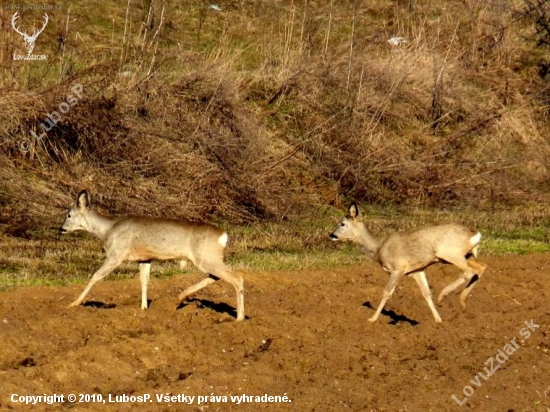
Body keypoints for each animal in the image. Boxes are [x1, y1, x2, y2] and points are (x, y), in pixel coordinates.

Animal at [58, 191, 246, 322]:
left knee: (237, 277)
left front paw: (73, 304)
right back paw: (181, 297)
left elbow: (95, 276)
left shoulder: (116, 254)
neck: (107, 230)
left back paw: (239, 318)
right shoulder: (145, 258)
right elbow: (144, 281)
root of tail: (223, 235)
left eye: (69, 214)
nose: (61, 229)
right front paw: (143, 309)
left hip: (206, 257)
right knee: (217, 276)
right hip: (209, 258)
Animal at [332, 204, 488, 324]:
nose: (331, 235)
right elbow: (426, 293)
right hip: (467, 255)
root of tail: (476, 234)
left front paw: (372, 318)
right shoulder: (417, 270)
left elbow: (386, 292)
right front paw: (438, 320)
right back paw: (462, 302)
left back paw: (444, 295)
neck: (378, 248)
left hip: (449, 253)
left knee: (470, 271)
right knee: (481, 267)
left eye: (342, 223)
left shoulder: (398, 268)